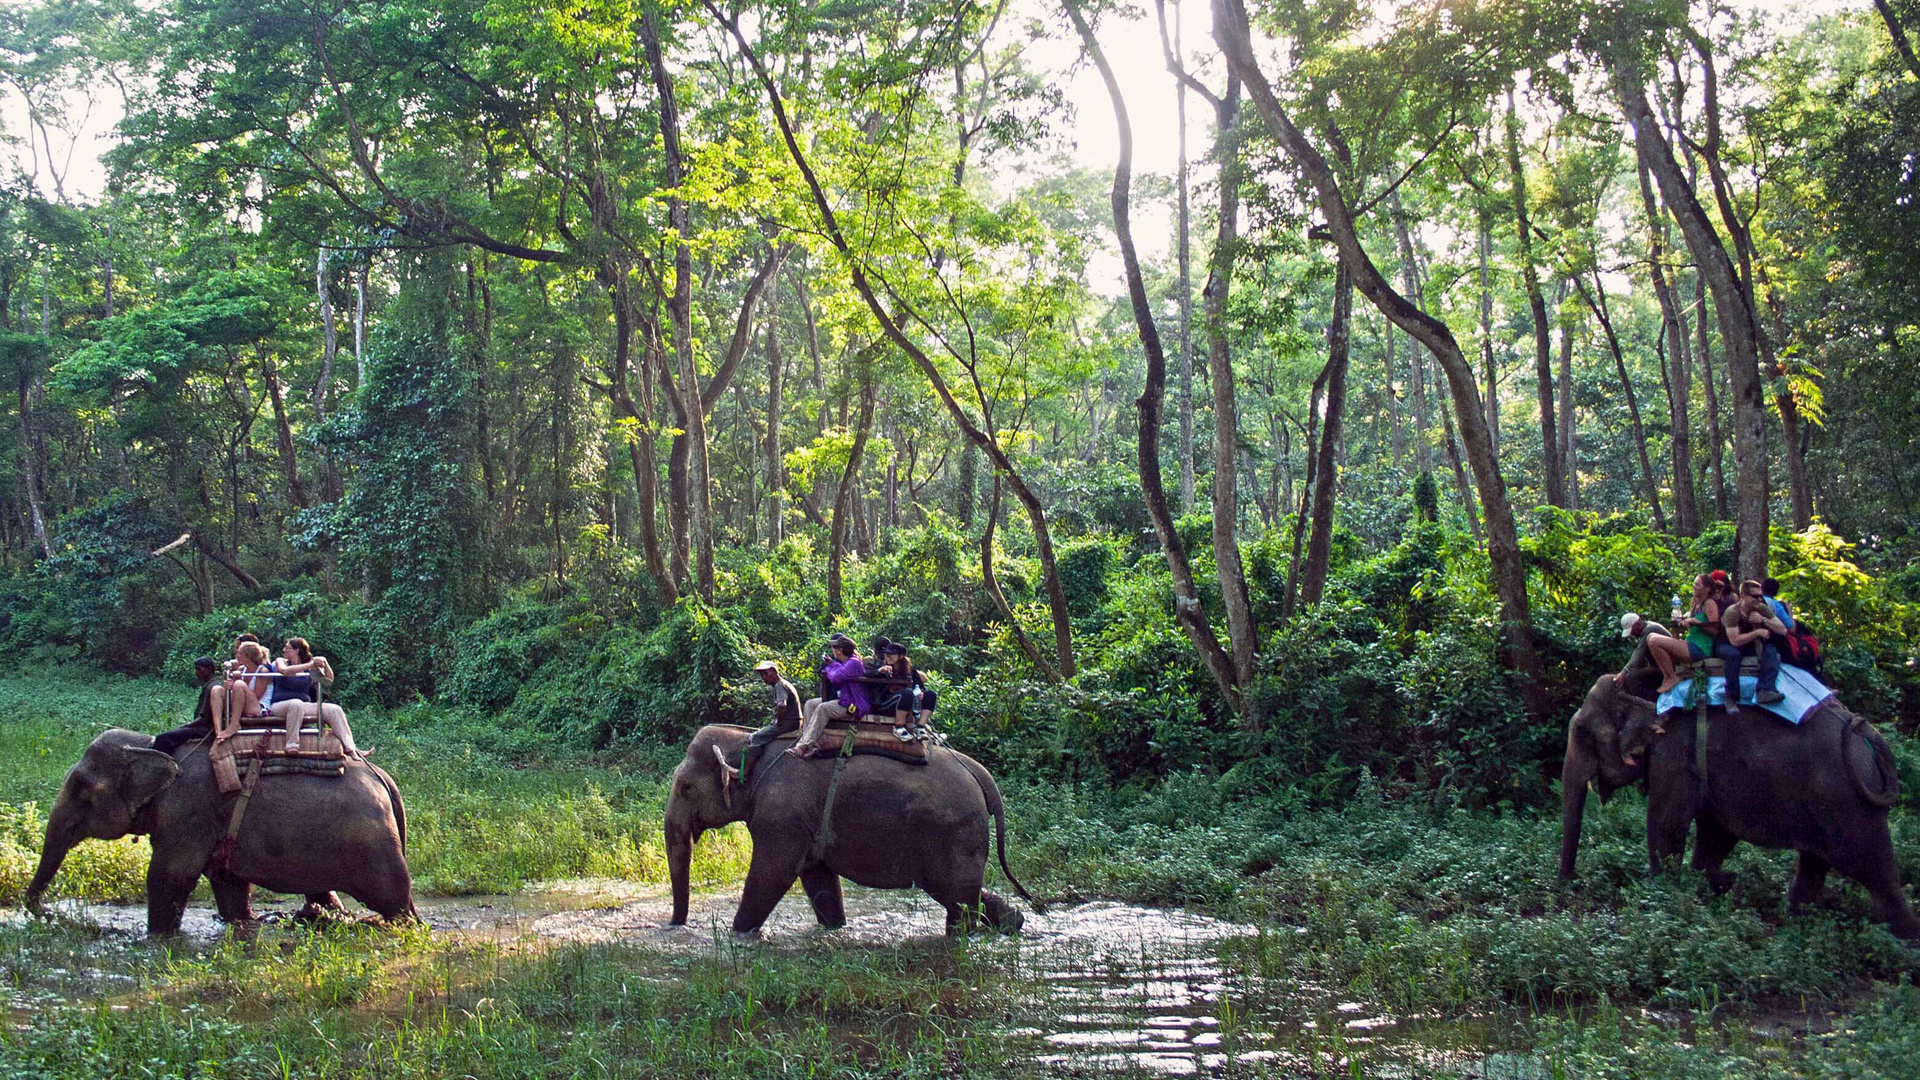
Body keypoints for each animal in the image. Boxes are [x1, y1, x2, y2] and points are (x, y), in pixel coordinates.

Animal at [23, 726, 416, 930]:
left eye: (81, 791)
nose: (47, 913)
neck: (150, 746)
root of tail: (383, 778)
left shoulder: (186, 811)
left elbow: (169, 876)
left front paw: (158, 938)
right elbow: (228, 883)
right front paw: (242, 923)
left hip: (373, 846)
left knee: (394, 900)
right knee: (324, 893)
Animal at [668, 718, 1044, 930]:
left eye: (686, 788)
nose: (675, 926)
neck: (749, 742)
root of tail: (980, 774)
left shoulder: (781, 816)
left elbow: (771, 874)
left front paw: (739, 934)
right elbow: (817, 877)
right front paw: (835, 928)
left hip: (954, 832)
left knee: (956, 895)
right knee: (963, 894)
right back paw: (1013, 923)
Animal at [1551, 672, 1912, 933]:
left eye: (1583, 734)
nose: (1567, 888)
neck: (1647, 694)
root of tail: (1868, 735)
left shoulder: (1675, 756)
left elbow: (1666, 828)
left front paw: (1664, 899)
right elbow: (1715, 834)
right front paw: (1717, 883)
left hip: (1849, 805)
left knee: (1873, 871)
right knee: (1814, 864)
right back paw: (1796, 924)